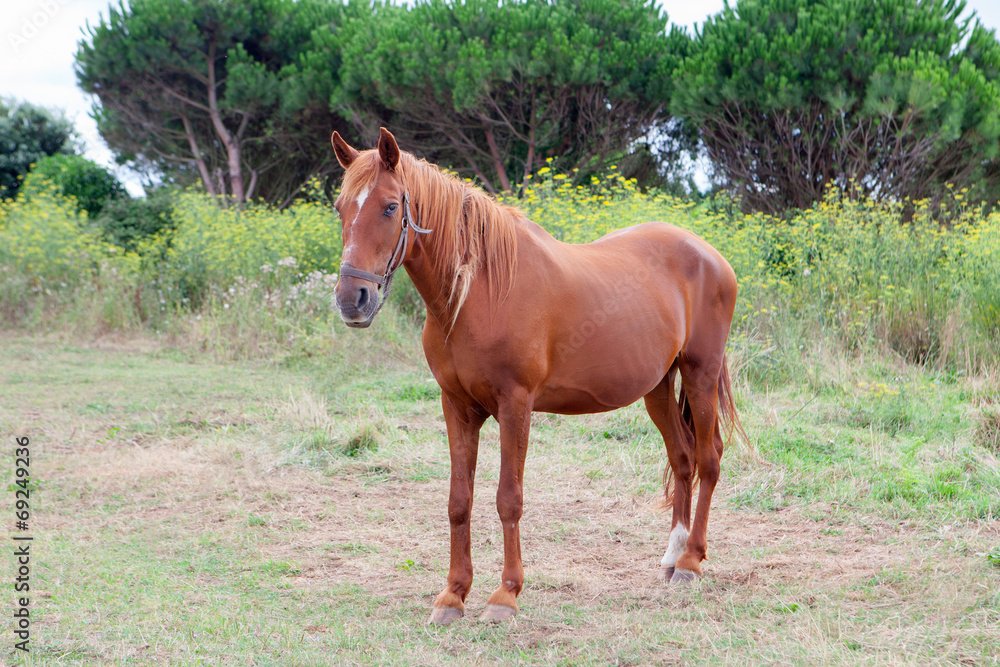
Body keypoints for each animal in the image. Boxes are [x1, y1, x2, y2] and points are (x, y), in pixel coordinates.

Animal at [331, 128, 742, 625]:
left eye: (391, 207)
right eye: (341, 208)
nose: (352, 299)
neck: (479, 290)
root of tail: (710, 255)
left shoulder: (516, 404)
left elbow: (508, 498)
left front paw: (505, 594)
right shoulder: (457, 407)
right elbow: (458, 501)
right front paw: (453, 595)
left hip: (701, 373)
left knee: (708, 458)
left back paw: (691, 562)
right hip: (658, 388)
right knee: (682, 459)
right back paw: (671, 556)